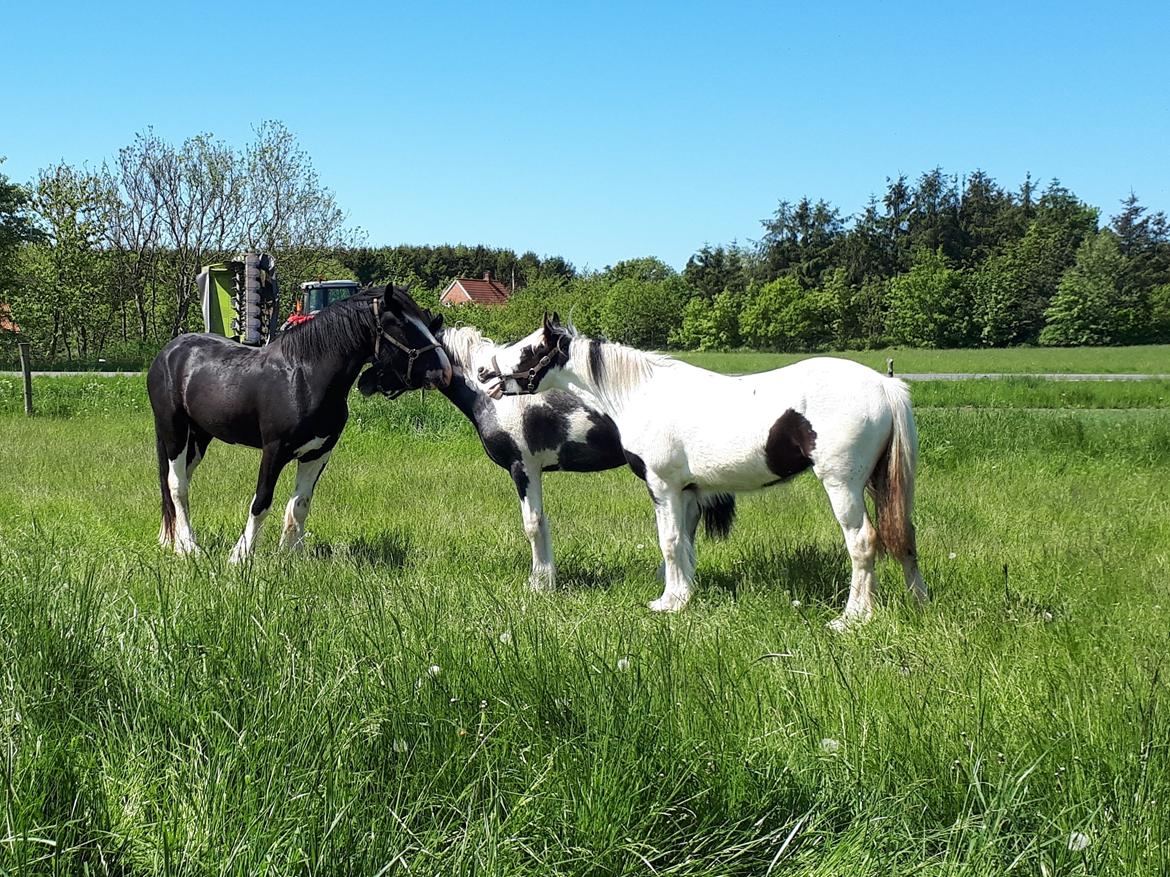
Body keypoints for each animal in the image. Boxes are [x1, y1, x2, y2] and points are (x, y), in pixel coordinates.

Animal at [148, 285, 449, 565]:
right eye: (402, 324)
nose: (444, 371)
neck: (305, 377)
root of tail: (168, 352)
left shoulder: (318, 453)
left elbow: (300, 504)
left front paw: (292, 554)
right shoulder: (274, 451)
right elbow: (261, 502)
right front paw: (241, 556)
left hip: (199, 437)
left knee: (180, 481)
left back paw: (171, 540)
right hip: (174, 431)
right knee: (177, 485)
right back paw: (188, 547)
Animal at [360, 322, 734, 591]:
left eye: (390, 348)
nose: (363, 382)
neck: (491, 395)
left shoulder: (523, 468)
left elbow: (534, 524)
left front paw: (540, 583)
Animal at [479, 315, 926, 631]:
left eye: (530, 348)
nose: (484, 373)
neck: (640, 394)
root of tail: (885, 386)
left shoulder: (663, 486)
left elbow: (670, 542)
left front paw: (668, 603)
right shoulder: (689, 492)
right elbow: (684, 545)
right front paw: (681, 595)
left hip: (842, 485)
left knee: (864, 541)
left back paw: (852, 618)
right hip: (880, 483)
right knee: (903, 534)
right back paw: (916, 601)